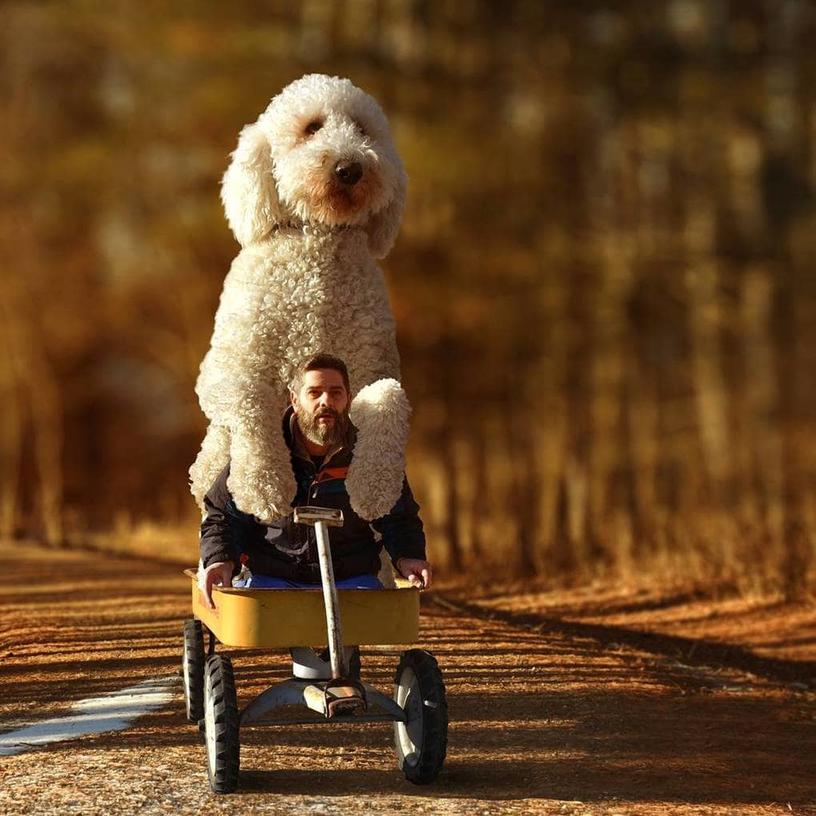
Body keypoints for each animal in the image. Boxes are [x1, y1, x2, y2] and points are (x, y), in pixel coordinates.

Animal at [189, 75, 412, 524]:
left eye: (362, 129)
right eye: (312, 127)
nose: (350, 168)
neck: (319, 243)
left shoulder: (370, 368)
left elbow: (390, 398)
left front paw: (373, 485)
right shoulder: (221, 374)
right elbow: (250, 398)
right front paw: (264, 487)